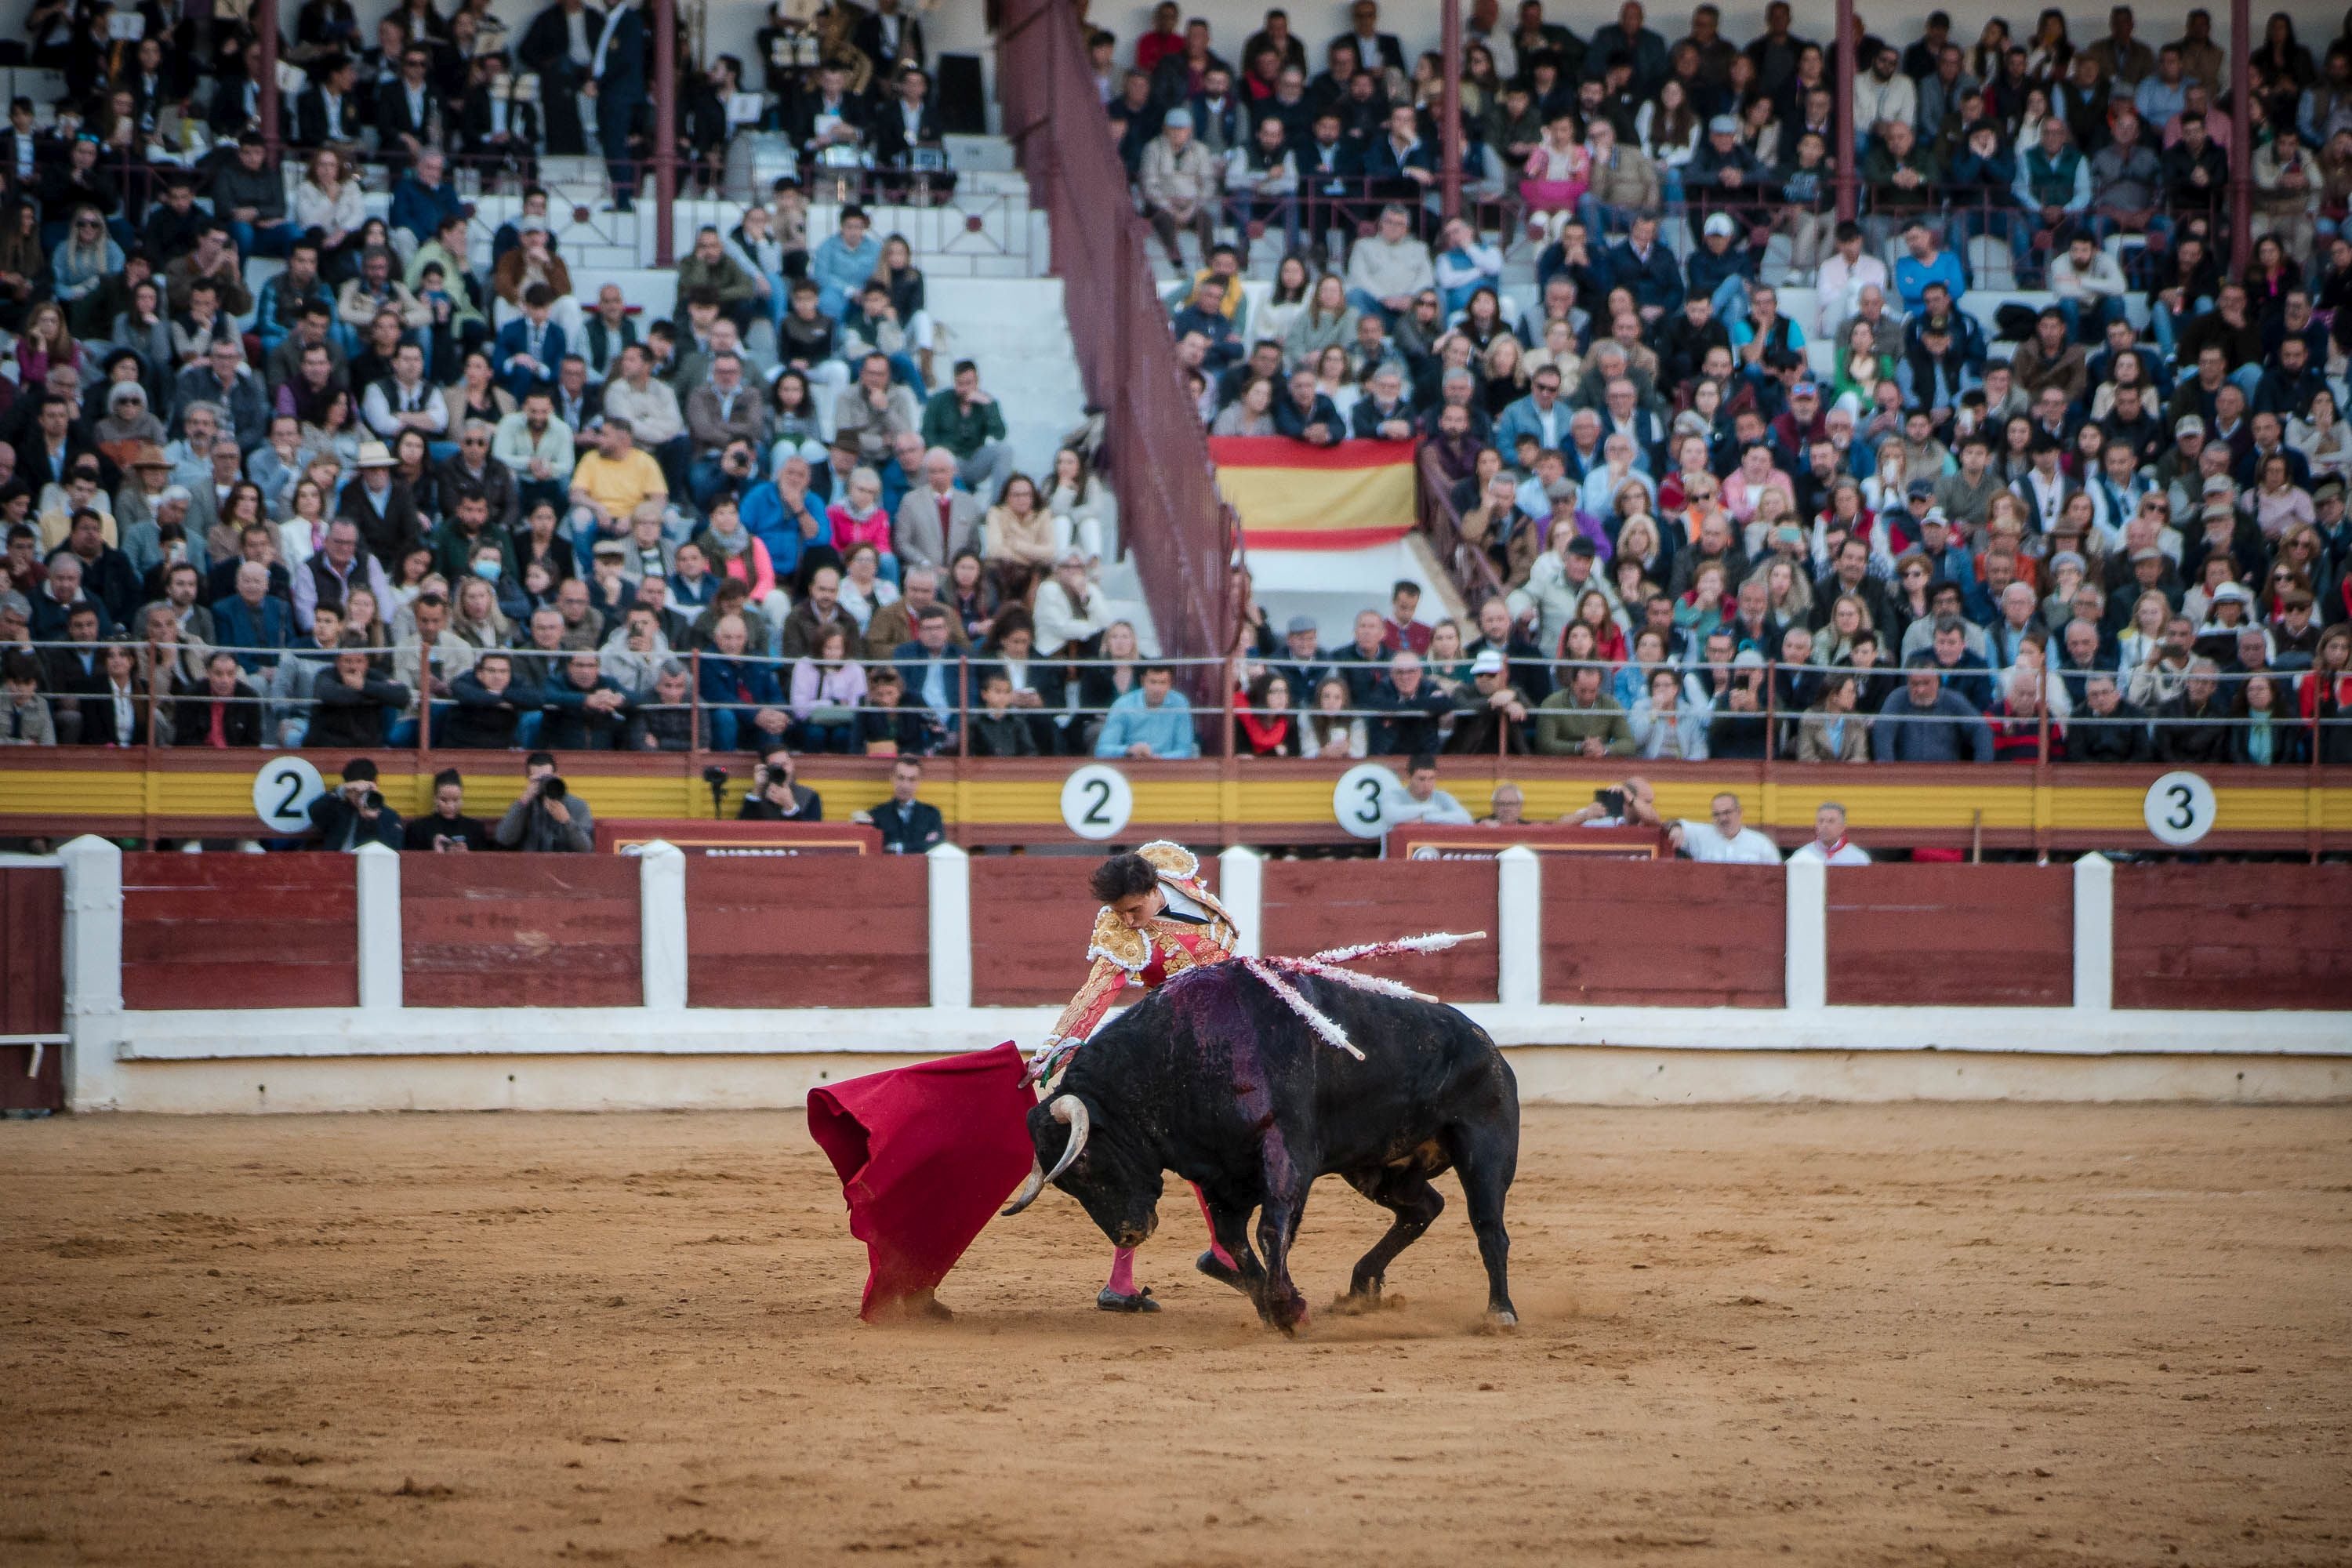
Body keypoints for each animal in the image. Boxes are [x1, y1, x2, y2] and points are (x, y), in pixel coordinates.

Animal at [997, 959, 1515, 1335]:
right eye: (1067, 1185)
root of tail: (1486, 1043)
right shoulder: (1219, 1175)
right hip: (1379, 1168)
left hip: (1486, 1144)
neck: (1179, 1057)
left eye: (1084, 1162)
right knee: (1423, 1207)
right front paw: (1275, 1305)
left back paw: (1500, 1313)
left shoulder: (1287, 1151)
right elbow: (1233, 1240)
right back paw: (1361, 1288)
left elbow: (1271, 1229)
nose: (1128, 1234)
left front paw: (1287, 1308)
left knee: (1488, 1225)